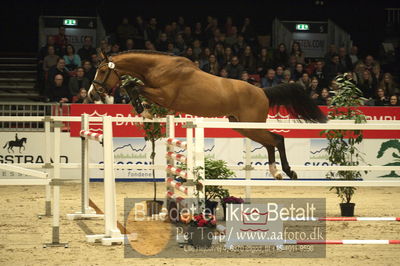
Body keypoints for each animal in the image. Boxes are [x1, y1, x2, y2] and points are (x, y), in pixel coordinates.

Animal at [87, 50, 324, 179]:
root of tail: (262, 91)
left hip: (251, 124)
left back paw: (288, 172)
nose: (91, 93)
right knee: (270, 143)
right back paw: (276, 172)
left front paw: (144, 111)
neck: (159, 67)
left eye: (102, 70)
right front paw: (143, 110)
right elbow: (132, 87)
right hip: (243, 126)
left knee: (277, 139)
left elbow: (133, 86)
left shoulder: (164, 95)